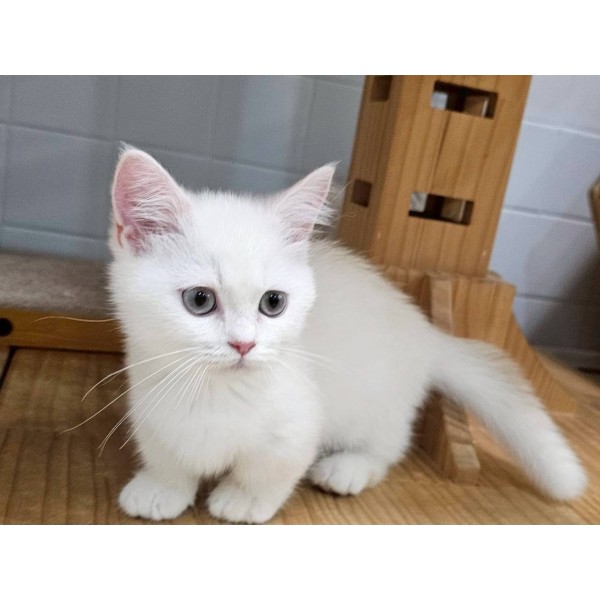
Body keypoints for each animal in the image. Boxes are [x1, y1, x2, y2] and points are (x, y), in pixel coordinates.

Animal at [109, 147, 587, 524]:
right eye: (200, 300)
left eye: (273, 303)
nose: (244, 344)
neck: (212, 390)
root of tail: (426, 329)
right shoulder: (151, 407)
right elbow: (166, 455)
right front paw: (161, 488)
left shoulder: (297, 424)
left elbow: (271, 469)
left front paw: (244, 501)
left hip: (382, 400)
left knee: (390, 446)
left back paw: (349, 468)